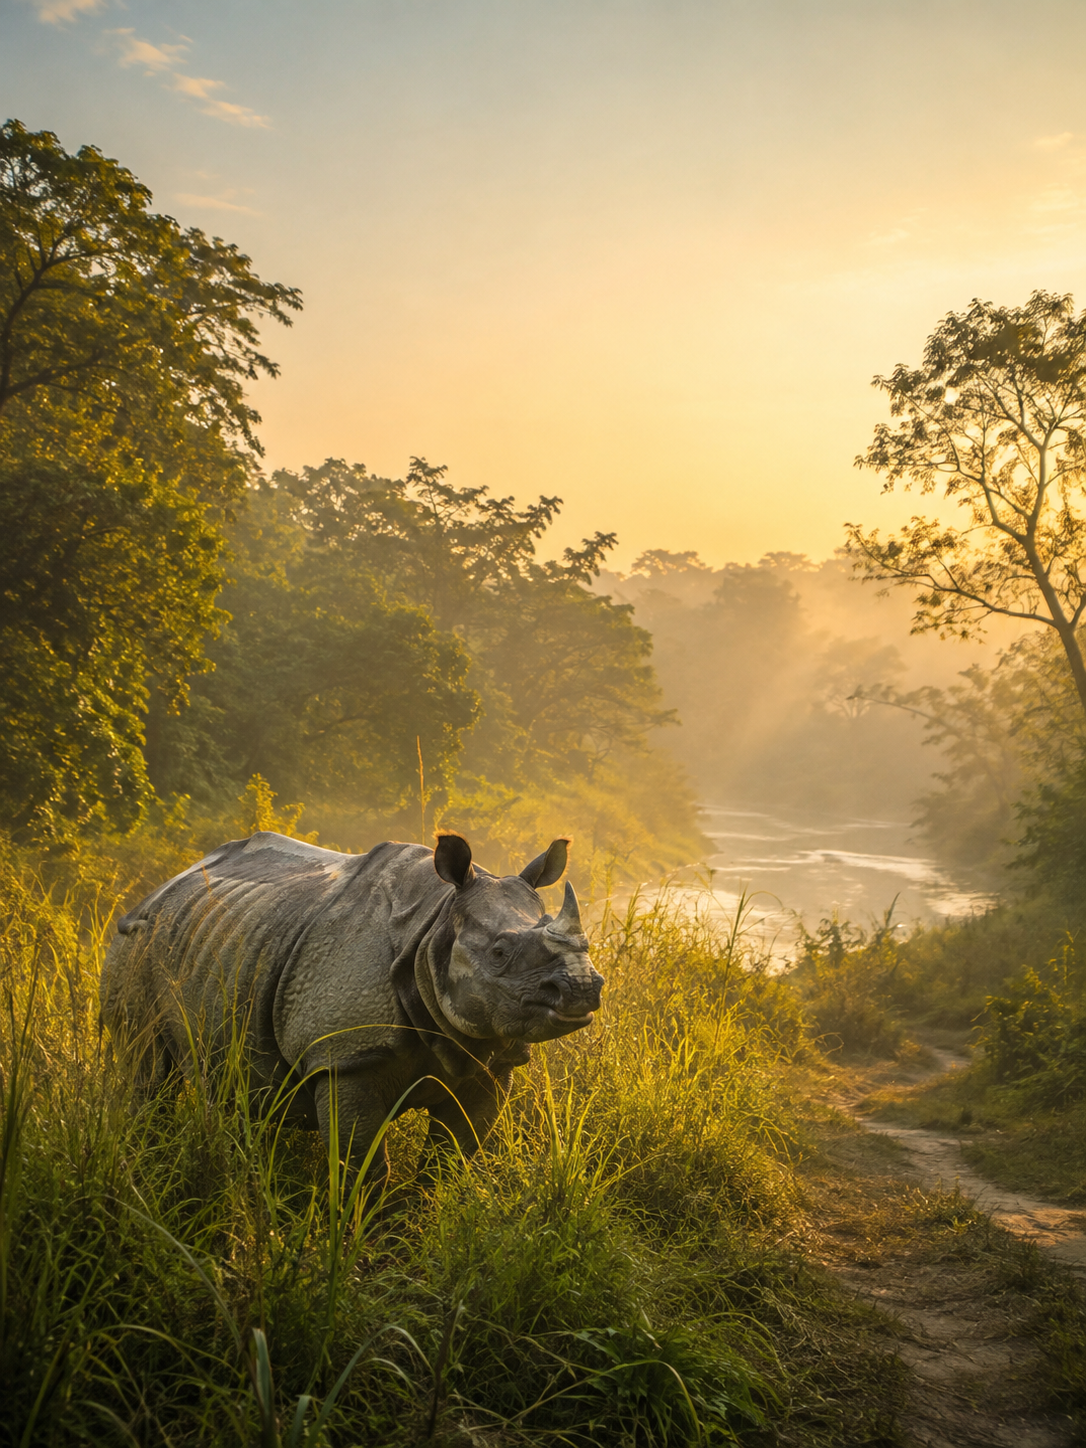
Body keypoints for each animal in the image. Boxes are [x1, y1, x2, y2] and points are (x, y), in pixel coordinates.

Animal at [100, 830, 603, 1190]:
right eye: (499, 953)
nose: (582, 987)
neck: (435, 925)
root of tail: (162, 885)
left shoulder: (488, 1061)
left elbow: (449, 1162)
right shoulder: (344, 1058)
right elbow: (364, 1170)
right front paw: (366, 1239)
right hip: (134, 941)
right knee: (150, 1074)